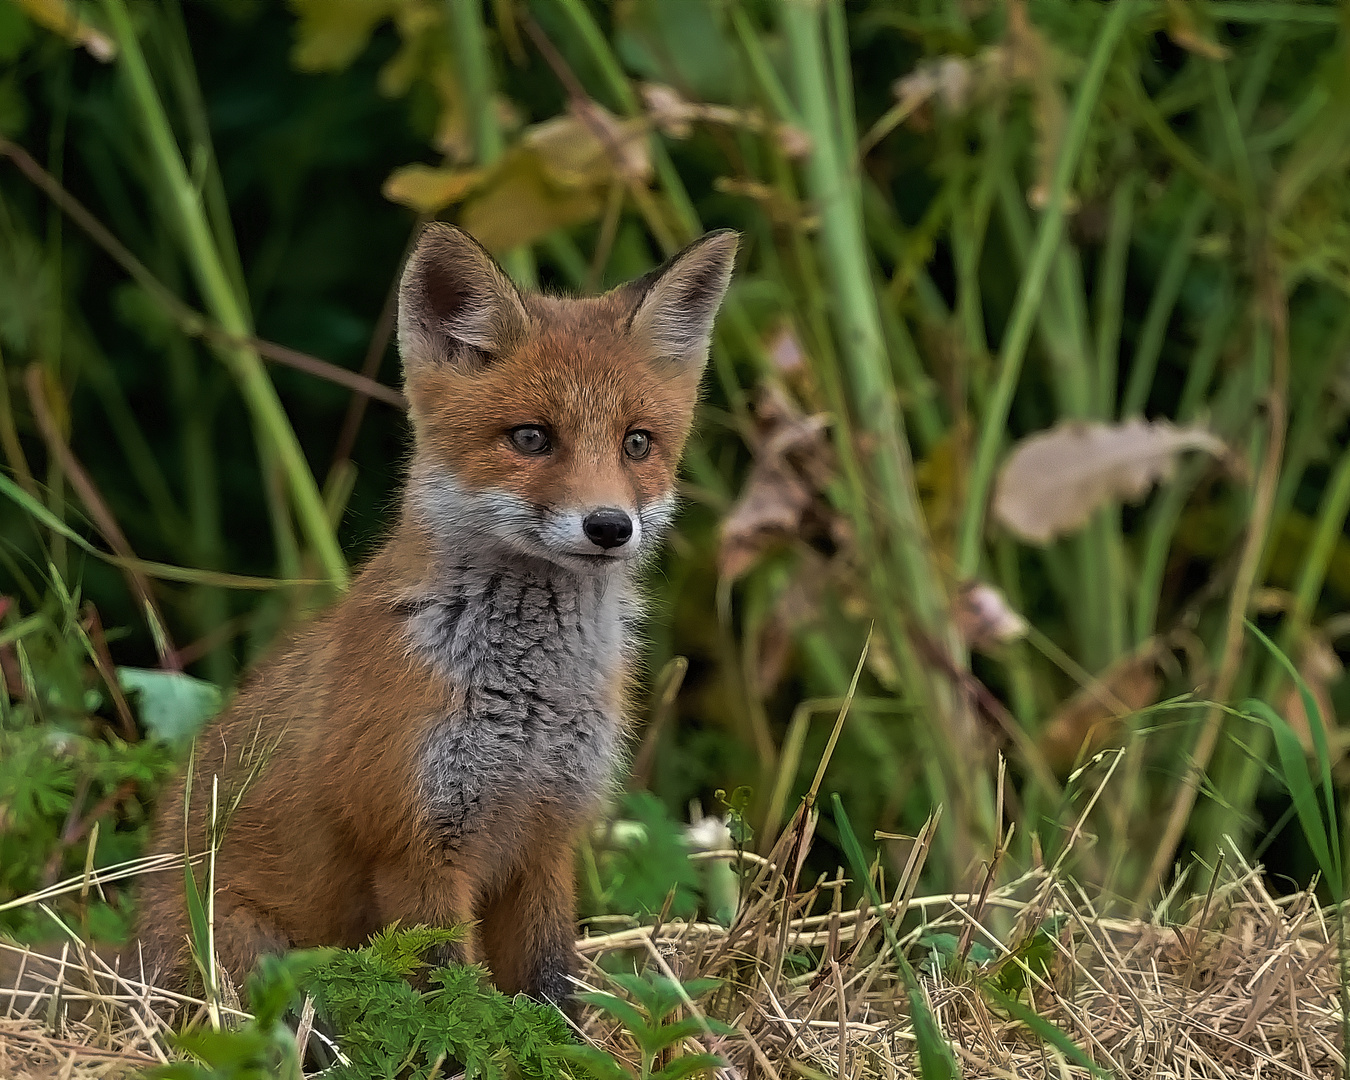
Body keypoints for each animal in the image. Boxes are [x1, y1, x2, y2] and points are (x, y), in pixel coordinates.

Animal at [95, 224, 739, 1009]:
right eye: (531, 438)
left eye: (637, 443)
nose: (610, 526)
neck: (529, 704)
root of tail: (121, 963)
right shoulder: (415, 849)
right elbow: (448, 995)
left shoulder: (548, 840)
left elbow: (550, 985)